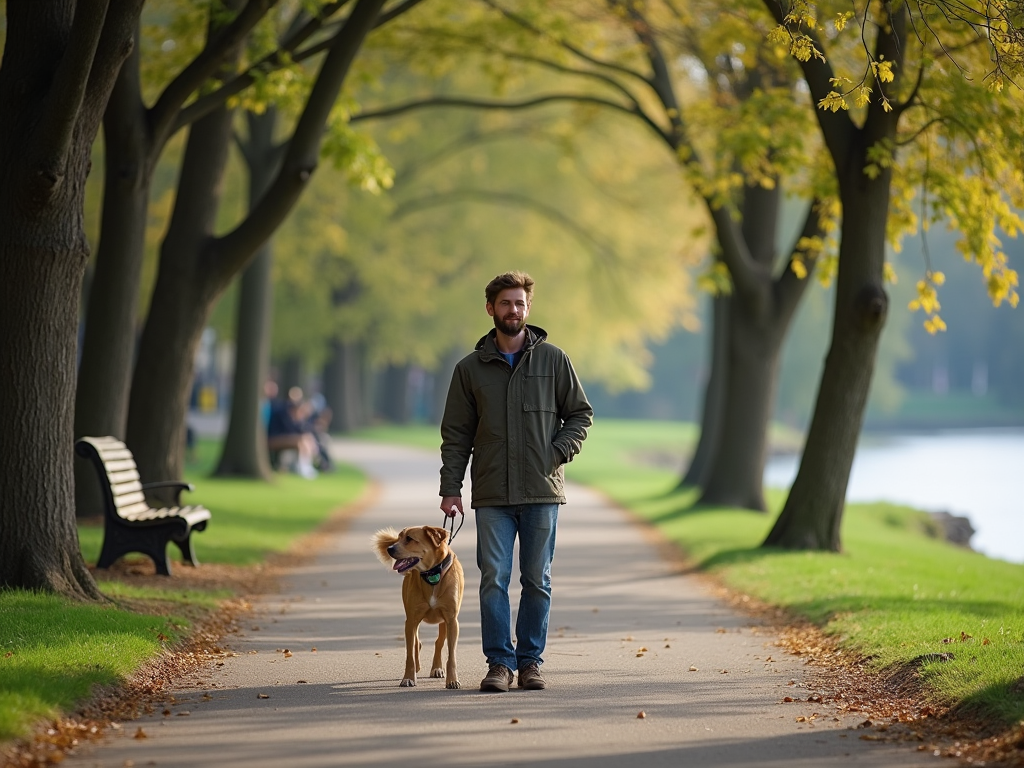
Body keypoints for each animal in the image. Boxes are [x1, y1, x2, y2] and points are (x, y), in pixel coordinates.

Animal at [372, 528, 464, 688]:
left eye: (409, 538)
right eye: (399, 537)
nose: (390, 549)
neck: (432, 574)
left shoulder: (452, 620)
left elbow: (451, 655)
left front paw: (452, 680)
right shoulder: (411, 620)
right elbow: (410, 653)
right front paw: (408, 677)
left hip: (444, 622)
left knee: (439, 642)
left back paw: (437, 668)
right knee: (417, 643)